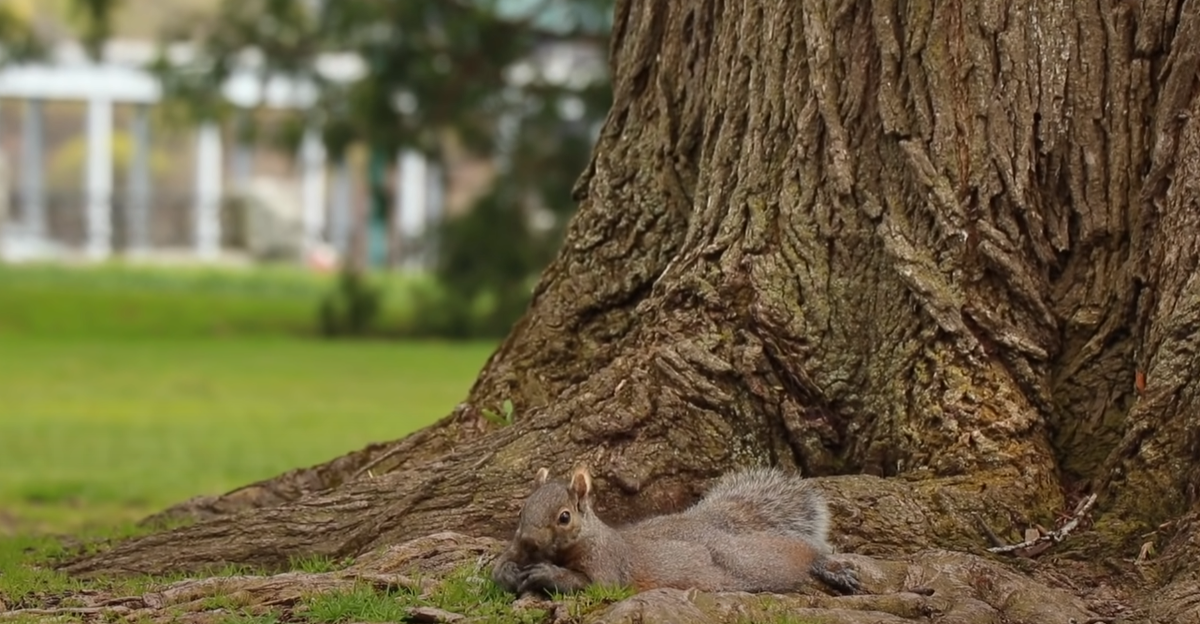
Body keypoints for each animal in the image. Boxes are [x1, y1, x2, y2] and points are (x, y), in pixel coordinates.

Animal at [489, 468, 864, 595]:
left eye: (564, 517)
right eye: (522, 511)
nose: (528, 542)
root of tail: (707, 523)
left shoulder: (608, 562)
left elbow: (598, 585)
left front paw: (546, 573)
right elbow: (499, 568)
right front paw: (508, 571)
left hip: (747, 562)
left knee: (797, 552)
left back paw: (832, 567)